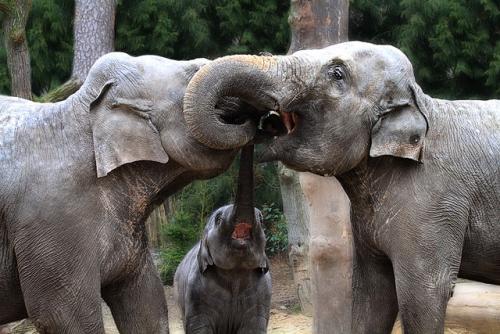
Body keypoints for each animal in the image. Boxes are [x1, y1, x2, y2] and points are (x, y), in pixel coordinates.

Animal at [174, 144, 272, 334]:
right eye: (218, 219)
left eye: (262, 219)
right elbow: (199, 327)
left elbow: (253, 327)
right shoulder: (195, 293)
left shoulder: (262, 294)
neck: (235, 273)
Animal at [184, 41, 500, 334]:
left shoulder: (434, 206)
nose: (257, 120)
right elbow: (373, 294)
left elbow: (423, 295)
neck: (424, 103)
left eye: (336, 73)